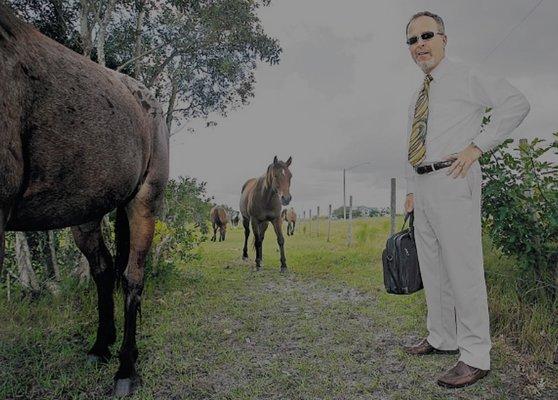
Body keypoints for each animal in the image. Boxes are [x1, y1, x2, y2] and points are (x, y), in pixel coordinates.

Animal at [1, 3, 170, 396]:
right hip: (85, 212)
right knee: (103, 270)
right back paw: (100, 346)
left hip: (144, 203)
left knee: (133, 278)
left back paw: (125, 368)